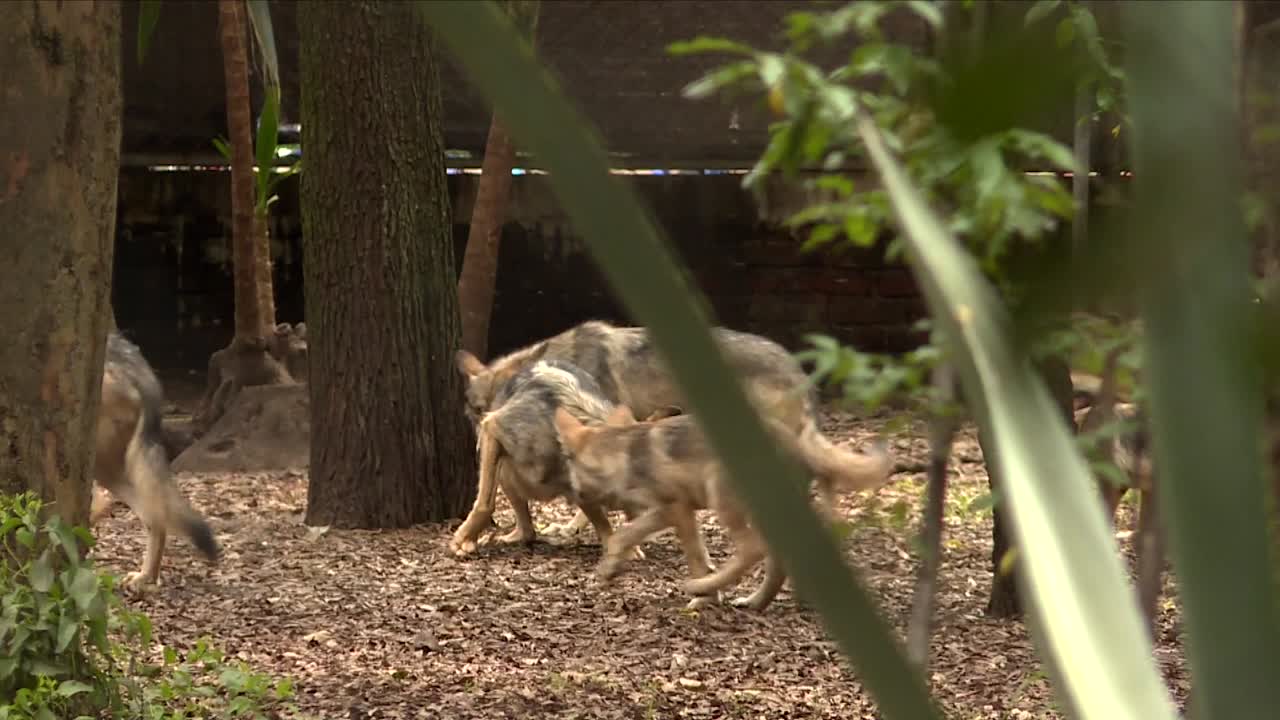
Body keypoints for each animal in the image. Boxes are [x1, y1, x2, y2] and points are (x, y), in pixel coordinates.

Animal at [551, 403, 895, 610]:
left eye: (568, 461)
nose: (571, 492)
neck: (623, 457)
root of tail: (797, 446)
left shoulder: (673, 508)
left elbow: (627, 537)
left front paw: (703, 594)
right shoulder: (680, 514)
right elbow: (688, 552)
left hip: (723, 498)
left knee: (753, 549)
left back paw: (702, 588)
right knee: (778, 560)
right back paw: (757, 602)